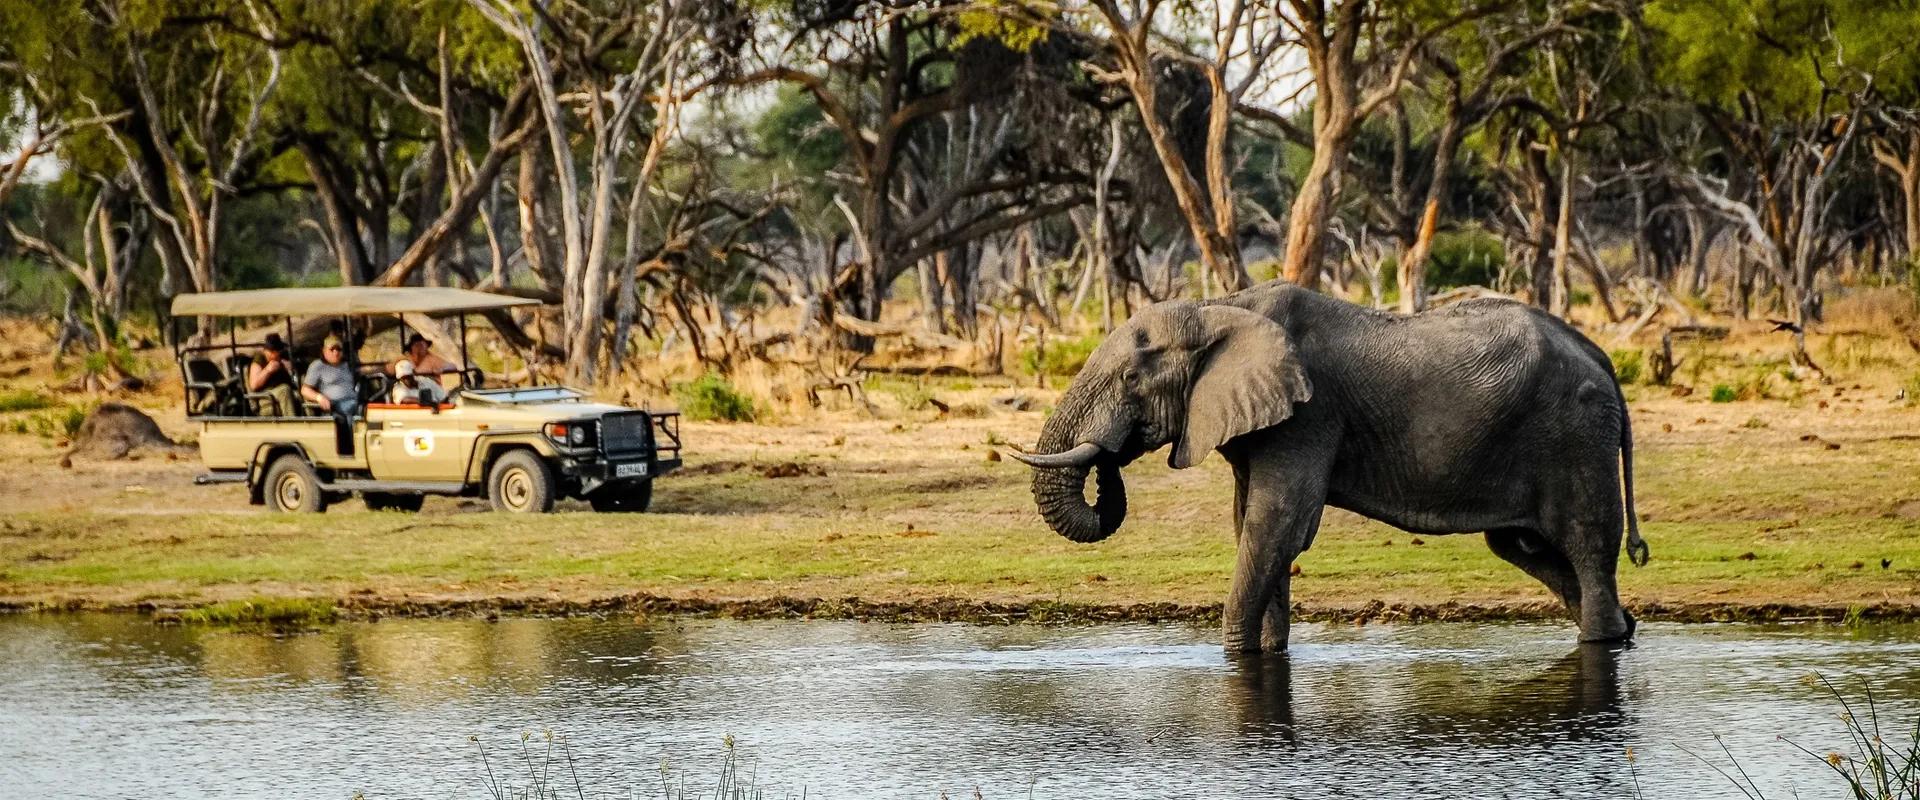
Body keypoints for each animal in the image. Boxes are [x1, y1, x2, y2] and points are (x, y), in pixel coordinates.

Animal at [1006, 278, 1651, 652]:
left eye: (1130, 378)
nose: (1110, 457)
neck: (1218, 308)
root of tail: (1604, 360)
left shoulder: (1309, 416)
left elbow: (1276, 526)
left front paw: (1235, 657)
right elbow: (1252, 528)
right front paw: (1266, 654)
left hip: (1575, 437)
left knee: (1586, 546)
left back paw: (1603, 638)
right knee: (1525, 548)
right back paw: (1623, 630)